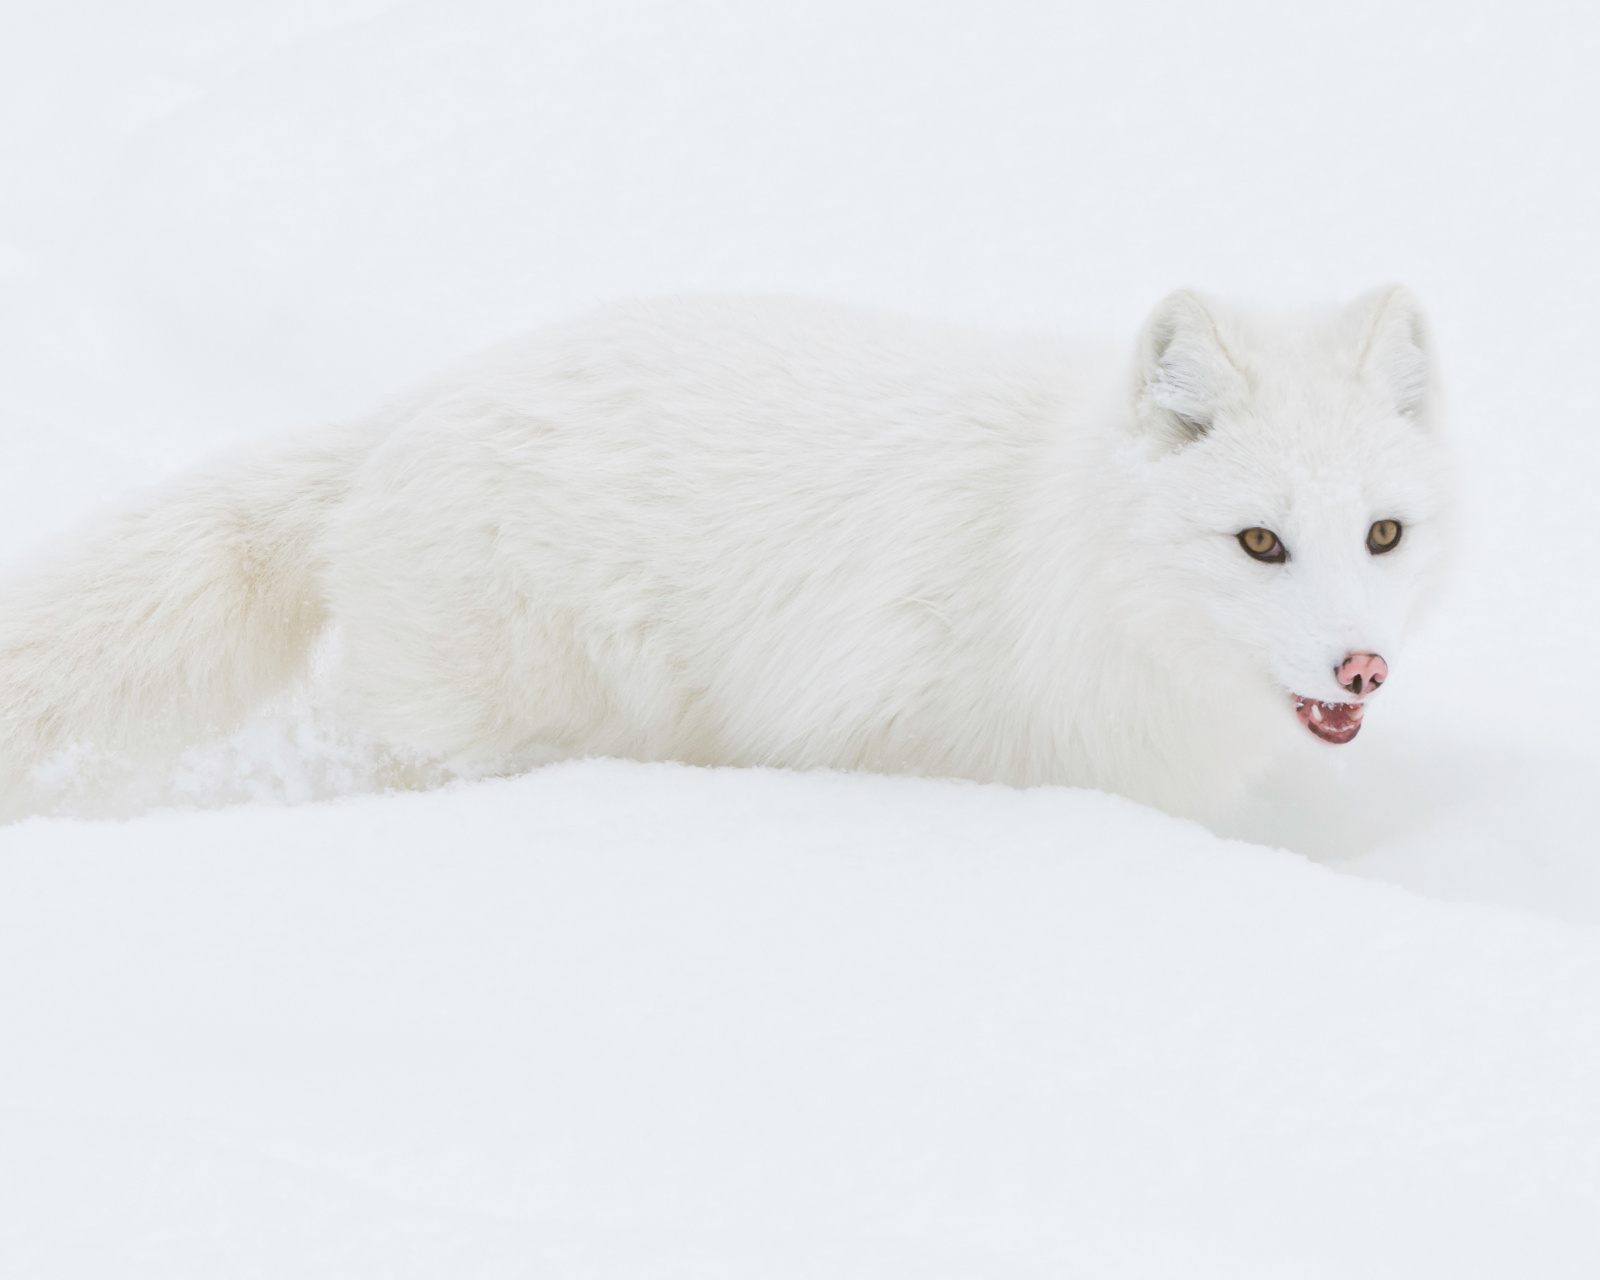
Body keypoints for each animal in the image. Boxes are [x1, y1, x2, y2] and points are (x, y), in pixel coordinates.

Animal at [0, 288, 1465, 819]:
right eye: (1259, 540)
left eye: (1384, 534)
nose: (1364, 667)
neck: (1049, 558)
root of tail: (395, 423)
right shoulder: (870, 732)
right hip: (489, 722)